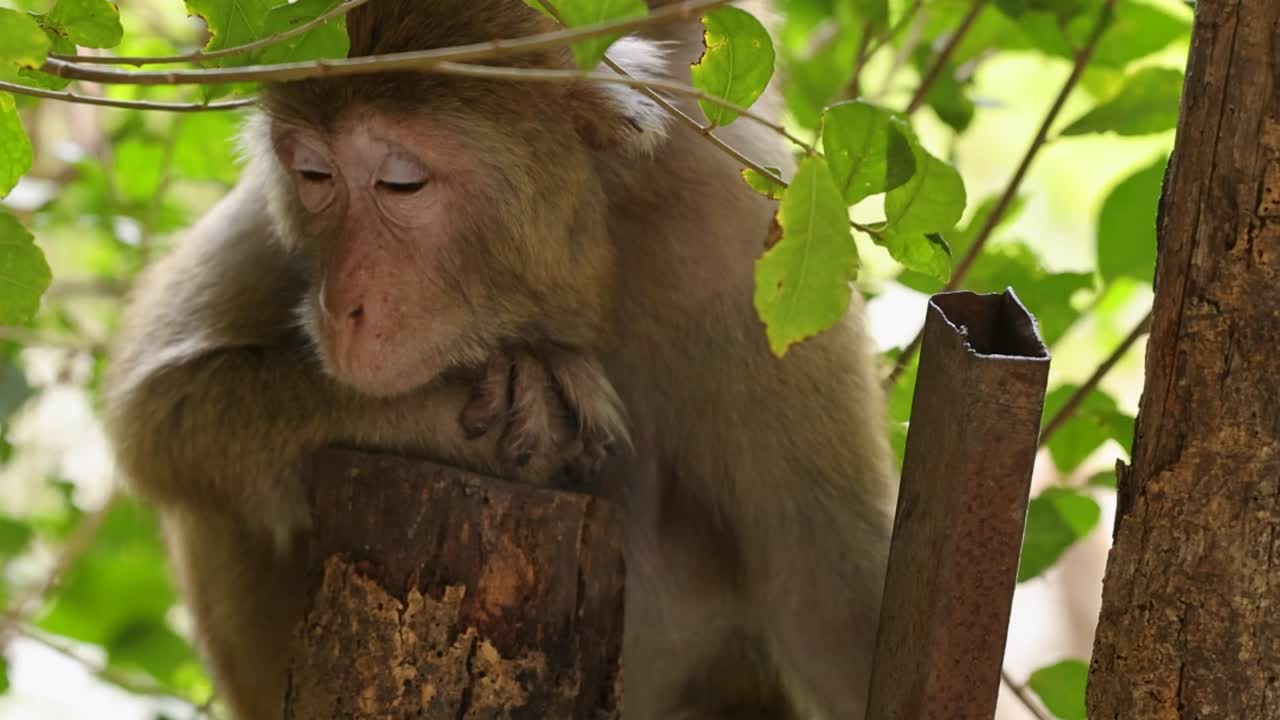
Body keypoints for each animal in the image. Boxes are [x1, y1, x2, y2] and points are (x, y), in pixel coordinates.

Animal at [104, 2, 897, 719]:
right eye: (314, 176)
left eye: (400, 183)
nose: (340, 306)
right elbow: (154, 412)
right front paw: (484, 409)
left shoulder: (753, 248)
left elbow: (833, 605)